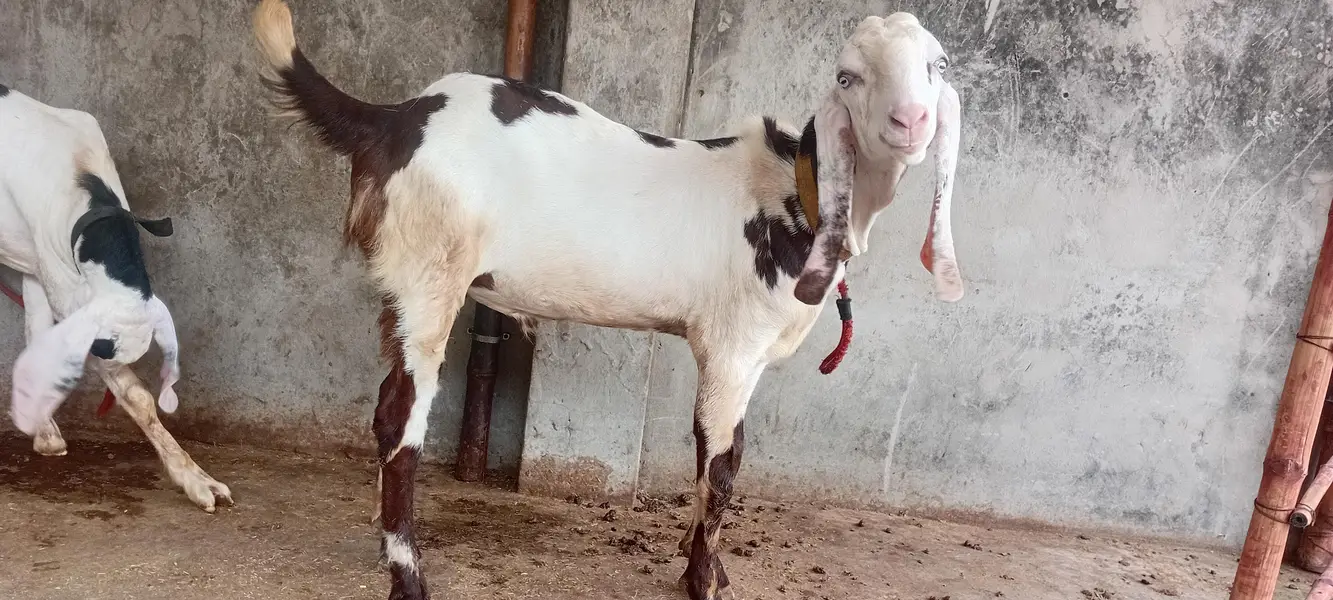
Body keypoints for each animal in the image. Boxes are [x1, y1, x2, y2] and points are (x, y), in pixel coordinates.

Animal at [0, 84, 232, 512]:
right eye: (104, 351)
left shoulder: (38, 267)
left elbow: (37, 337)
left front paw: (45, 434)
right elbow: (137, 396)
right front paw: (195, 480)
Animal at [251, 2, 962, 598]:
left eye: (938, 66)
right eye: (849, 76)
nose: (910, 122)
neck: (793, 193)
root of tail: (396, 119)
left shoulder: (744, 354)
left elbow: (719, 453)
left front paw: (708, 562)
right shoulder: (733, 346)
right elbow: (723, 462)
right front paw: (701, 580)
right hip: (430, 268)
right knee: (400, 420)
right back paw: (408, 577)